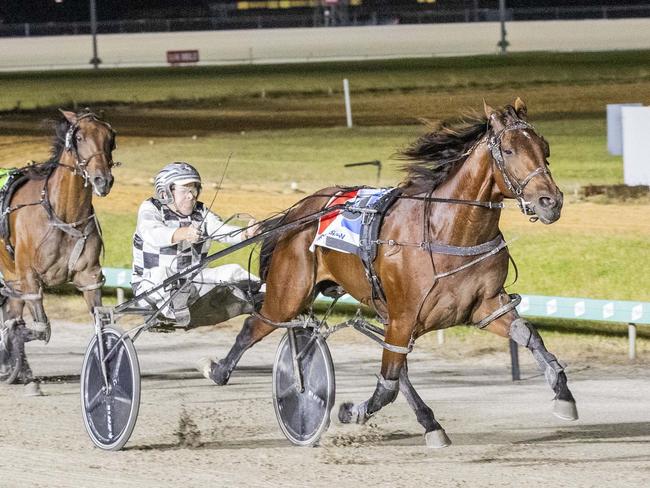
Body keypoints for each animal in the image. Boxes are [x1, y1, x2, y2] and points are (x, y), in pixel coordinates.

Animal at [0, 110, 116, 386]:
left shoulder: (89, 276)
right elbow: (41, 329)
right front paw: (10, 343)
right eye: (80, 137)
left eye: (110, 137)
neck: (63, 215)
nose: (102, 180)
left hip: (11, 276)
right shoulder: (29, 278)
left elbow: (99, 321)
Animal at [204, 98, 576, 446]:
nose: (550, 201)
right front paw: (350, 412)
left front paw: (563, 394)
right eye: (509, 150)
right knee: (255, 325)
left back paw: (430, 423)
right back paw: (219, 370)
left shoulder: (482, 306)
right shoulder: (403, 316)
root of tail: (298, 211)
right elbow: (387, 386)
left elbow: (529, 335)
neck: (446, 231)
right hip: (290, 292)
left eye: (544, 147)